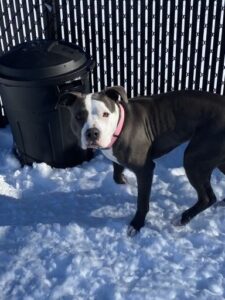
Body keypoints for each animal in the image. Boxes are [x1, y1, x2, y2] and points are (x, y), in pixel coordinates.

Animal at [59, 86, 225, 237]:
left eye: (105, 114)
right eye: (78, 116)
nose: (92, 133)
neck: (119, 126)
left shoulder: (145, 169)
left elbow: (142, 200)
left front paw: (136, 224)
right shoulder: (117, 159)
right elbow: (116, 175)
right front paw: (125, 183)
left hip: (193, 159)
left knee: (208, 198)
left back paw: (182, 218)